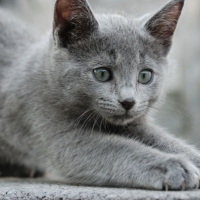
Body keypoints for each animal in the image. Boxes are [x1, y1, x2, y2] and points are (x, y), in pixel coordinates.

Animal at [0, 0, 200, 191]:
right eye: (102, 73)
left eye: (145, 75)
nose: (128, 101)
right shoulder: (54, 129)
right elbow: (118, 148)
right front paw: (174, 167)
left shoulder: (134, 123)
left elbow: (164, 140)